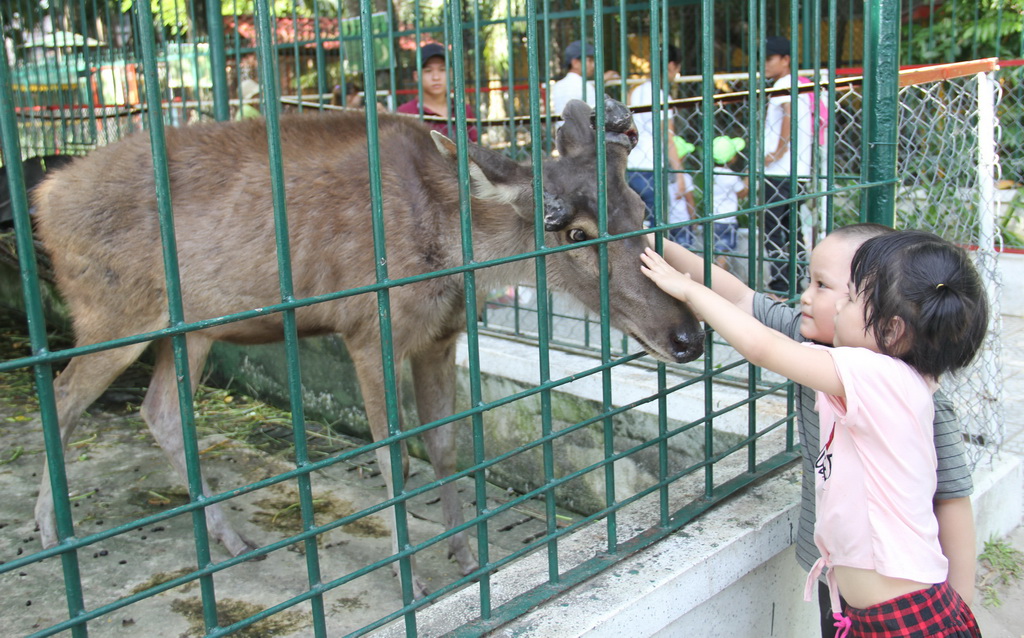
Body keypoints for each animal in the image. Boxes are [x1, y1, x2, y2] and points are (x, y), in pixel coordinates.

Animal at [29, 96, 704, 598]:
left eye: (640, 210)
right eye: (573, 233)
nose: (688, 336)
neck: (449, 252)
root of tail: (45, 196)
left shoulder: (441, 336)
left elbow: (445, 444)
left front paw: (466, 557)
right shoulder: (367, 328)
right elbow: (392, 457)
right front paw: (412, 582)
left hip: (188, 329)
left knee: (160, 412)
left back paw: (231, 540)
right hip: (113, 310)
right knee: (61, 394)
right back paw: (49, 535)